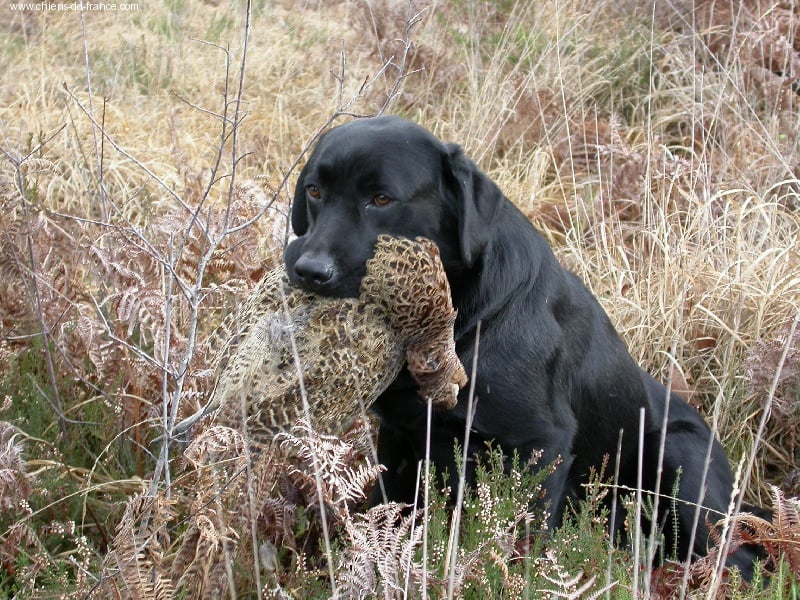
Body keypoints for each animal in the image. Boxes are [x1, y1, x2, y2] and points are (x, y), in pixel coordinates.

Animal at [284, 115, 760, 575]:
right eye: (314, 191)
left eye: (381, 199)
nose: (309, 271)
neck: (464, 322)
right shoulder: (402, 435)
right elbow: (385, 512)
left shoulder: (541, 446)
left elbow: (519, 545)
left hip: (679, 461)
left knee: (737, 559)